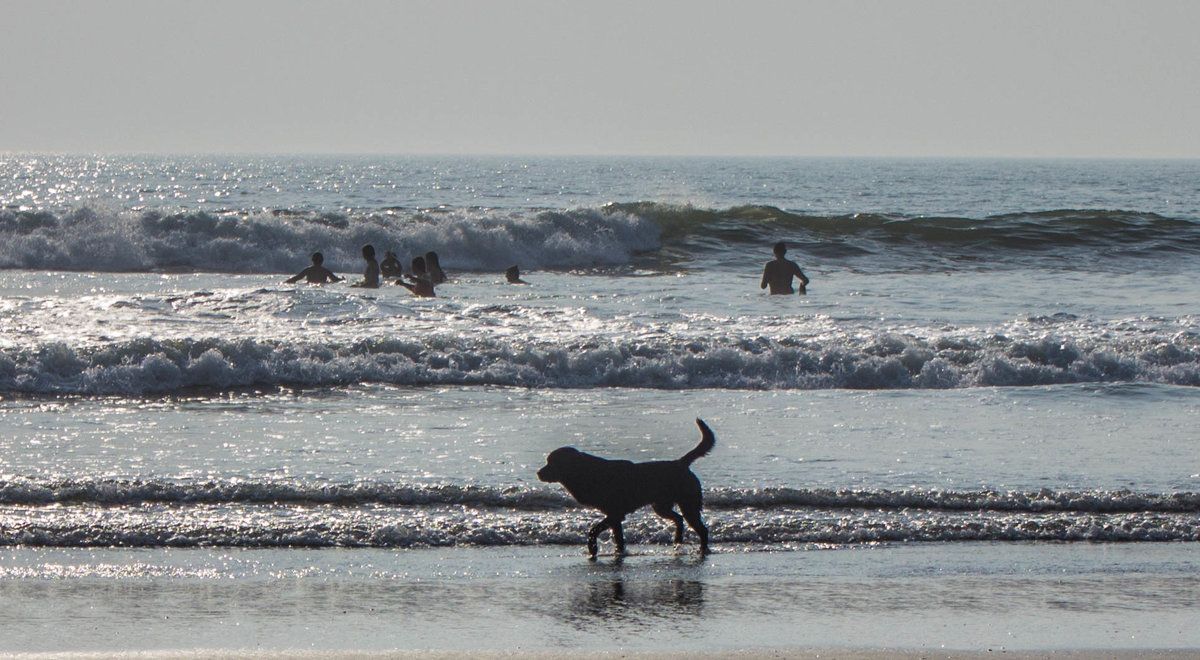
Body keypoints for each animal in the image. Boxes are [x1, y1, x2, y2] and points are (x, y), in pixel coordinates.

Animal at [535, 420, 710, 559]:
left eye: (552, 462)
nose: (538, 473)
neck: (587, 472)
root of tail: (680, 463)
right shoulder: (614, 517)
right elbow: (618, 539)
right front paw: (619, 552)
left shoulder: (615, 514)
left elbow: (593, 530)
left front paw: (593, 548)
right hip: (661, 507)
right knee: (679, 519)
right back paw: (678, 540)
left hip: (688, 506)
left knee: (702, 530)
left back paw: (702, 549)